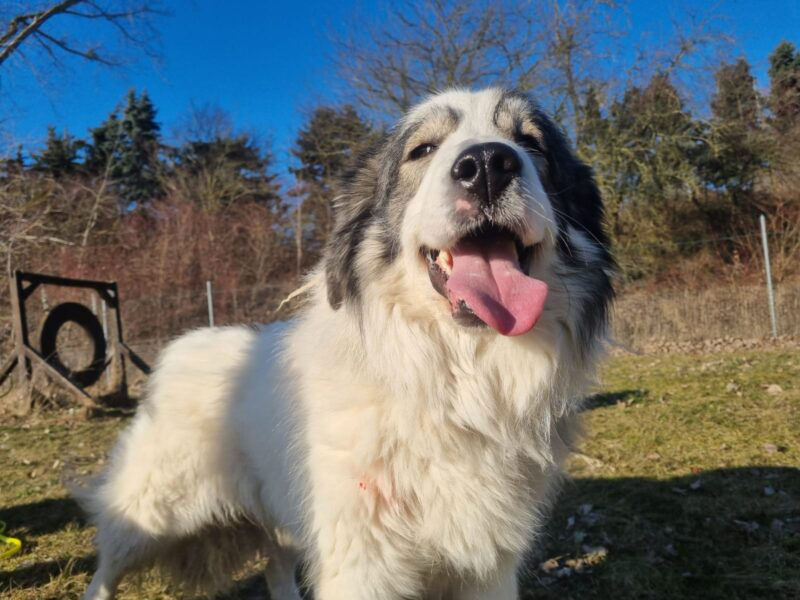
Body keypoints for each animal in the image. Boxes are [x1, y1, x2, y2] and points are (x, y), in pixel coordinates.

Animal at [79, 87, 614, 600]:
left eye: (531, 144)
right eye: (423, 150)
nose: (487, 163)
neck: (455, 384)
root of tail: (183, 346)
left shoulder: (487, 569)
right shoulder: (363, 566)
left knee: (275, 563)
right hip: (154, 509)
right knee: (108, 563)